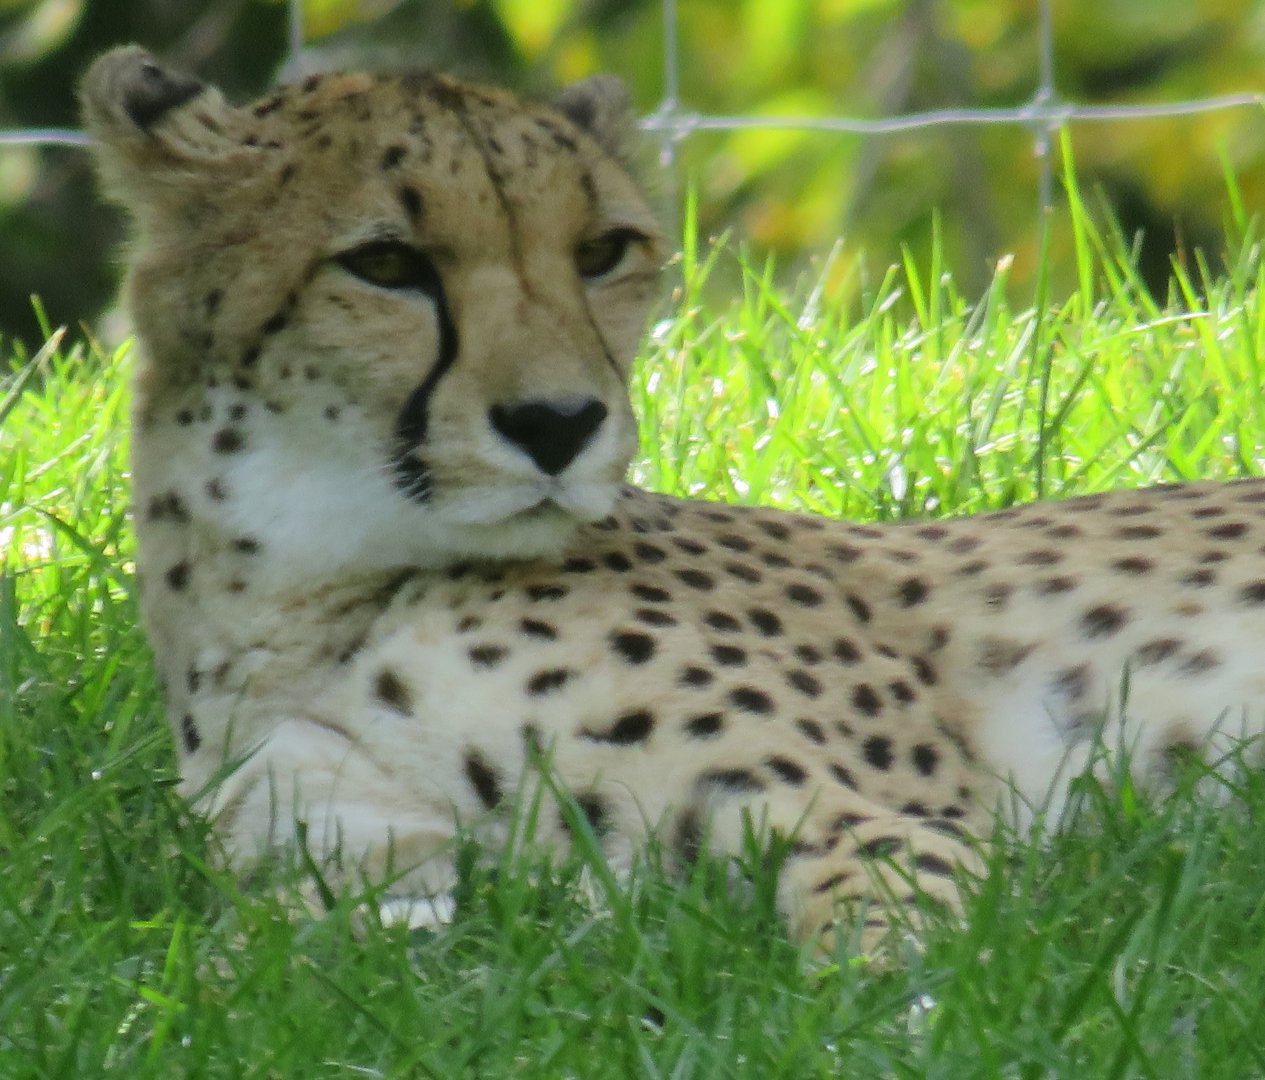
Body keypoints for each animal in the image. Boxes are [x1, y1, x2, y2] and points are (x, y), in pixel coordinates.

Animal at [80, 45, 1265, 955]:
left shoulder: (885, 817)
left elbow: (881, 962)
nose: (558, 423)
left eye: (602, 250)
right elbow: (234, 974)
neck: (308, 599)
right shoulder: (367, 877)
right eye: (384, 264)